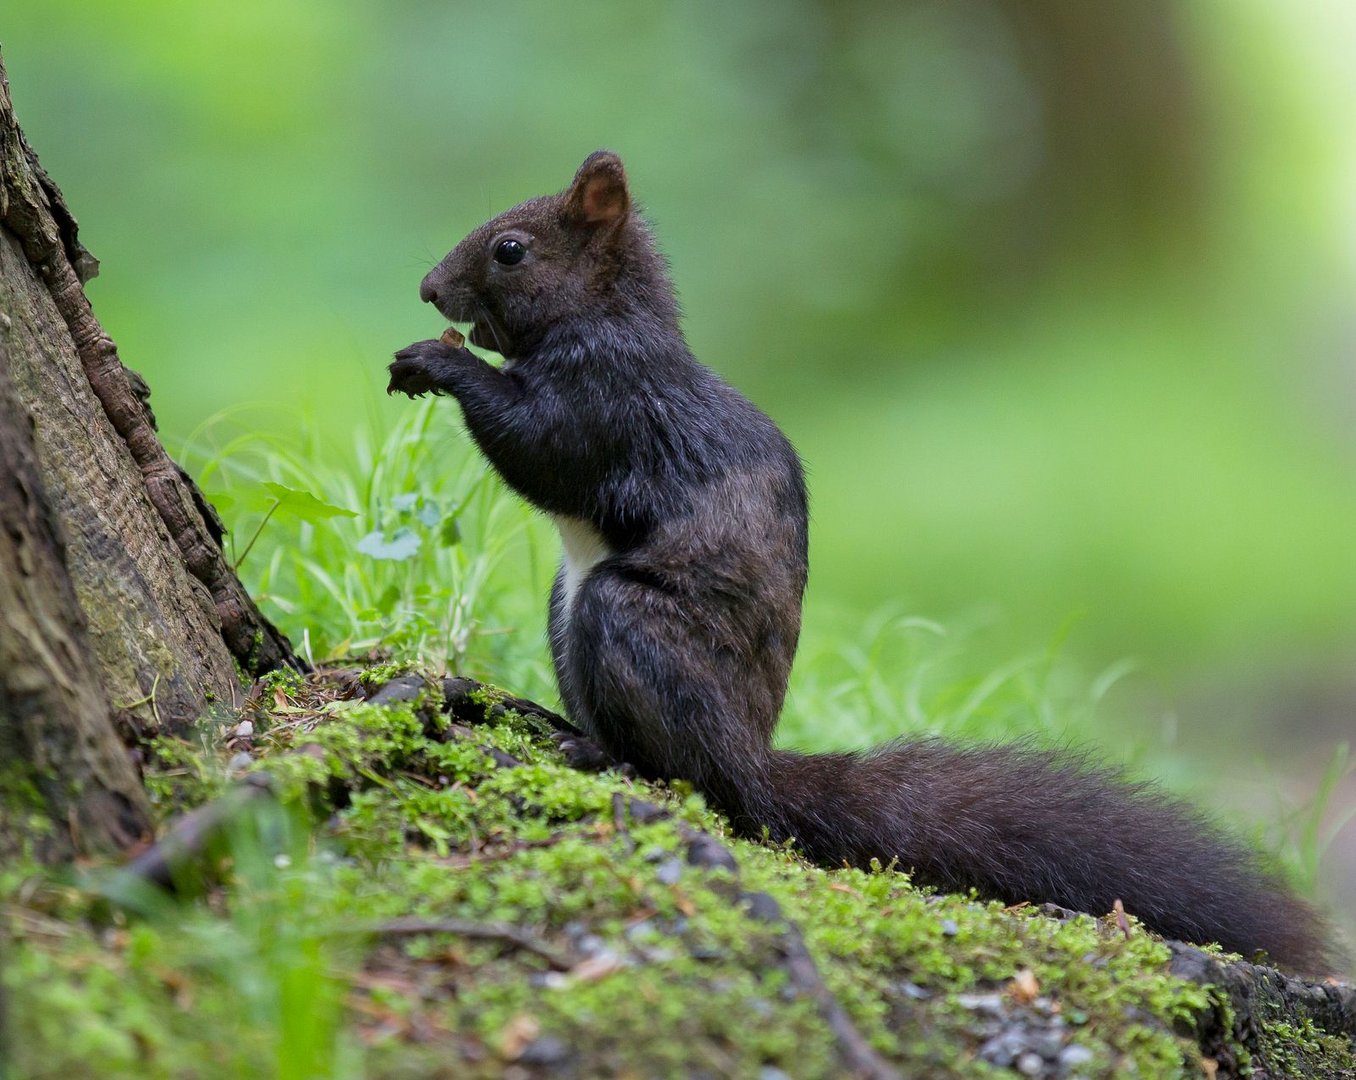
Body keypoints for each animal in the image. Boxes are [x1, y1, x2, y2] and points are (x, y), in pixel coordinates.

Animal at [387, 147, 1328, 966]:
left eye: (511, 249)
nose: (428, 287)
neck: (601, 319)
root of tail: (751, 754)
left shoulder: (608, 399)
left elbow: (541, 448)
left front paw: (439, 361)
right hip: (568, 608)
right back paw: (559, 726)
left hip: (630, 621)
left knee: (693, 777)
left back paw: (610, 758)